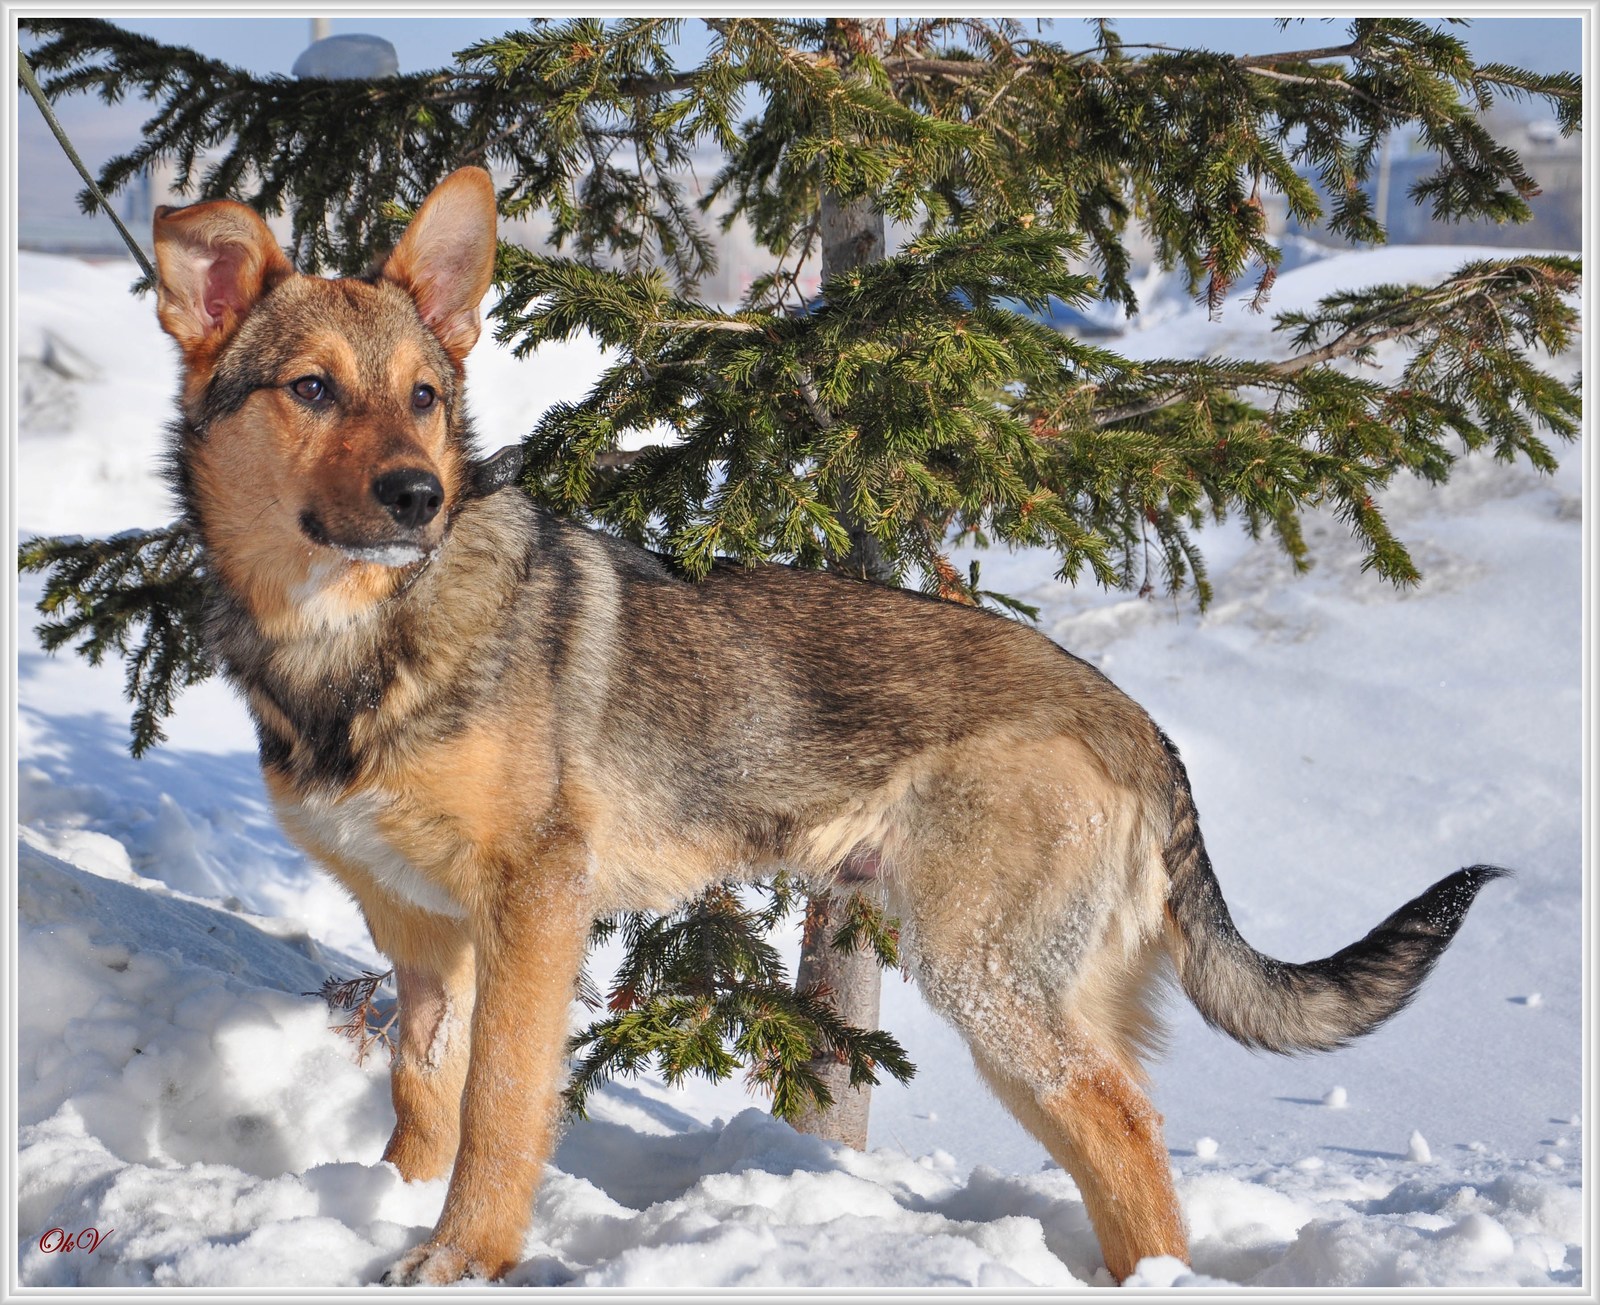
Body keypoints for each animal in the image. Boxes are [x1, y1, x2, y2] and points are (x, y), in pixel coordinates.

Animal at [150, 165, 1497, 1285]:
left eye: (424, 398)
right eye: (312, 389)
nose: (418, 498)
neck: (353, 643)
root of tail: (1133, 722)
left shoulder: (535, 903)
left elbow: (500, 1108)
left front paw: (462, 1260)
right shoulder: (423, 934)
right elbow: (425, 1101)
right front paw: (390, 1216)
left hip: (989, 983)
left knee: (1126, 1130)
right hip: (1030, 991)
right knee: (1124, 1145)